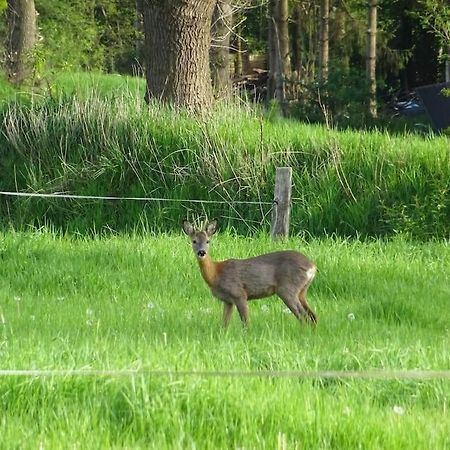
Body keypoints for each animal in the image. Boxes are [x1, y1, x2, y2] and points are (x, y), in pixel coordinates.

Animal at [182, 221, 316, 326]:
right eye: (194, 241)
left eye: (208, 241)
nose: (202, 252)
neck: (216, 273)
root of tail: (312, 266)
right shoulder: (228, 301)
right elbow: (224, 324)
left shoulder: (239, 294)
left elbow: (246, 322)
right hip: (302, 291)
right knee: (313, 316)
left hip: (287, 289)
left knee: (303, 316)